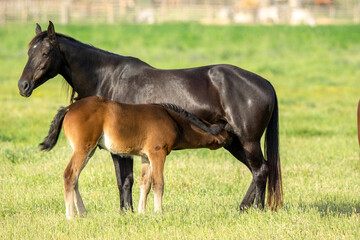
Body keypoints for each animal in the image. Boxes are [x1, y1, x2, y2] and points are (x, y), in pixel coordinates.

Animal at [40, 96, 231, 219]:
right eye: (227, 131)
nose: (232, 139)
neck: (173, 119)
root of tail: (69, 108)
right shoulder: (158, 153)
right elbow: (158, 184)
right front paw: (158, 213)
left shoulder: (145, 157)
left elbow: (145, 184)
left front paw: (141, 212)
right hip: (83, 149)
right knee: (69, 175)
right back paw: (71, 215)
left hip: (89, 151)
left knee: (76, 179)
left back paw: (83, 213)